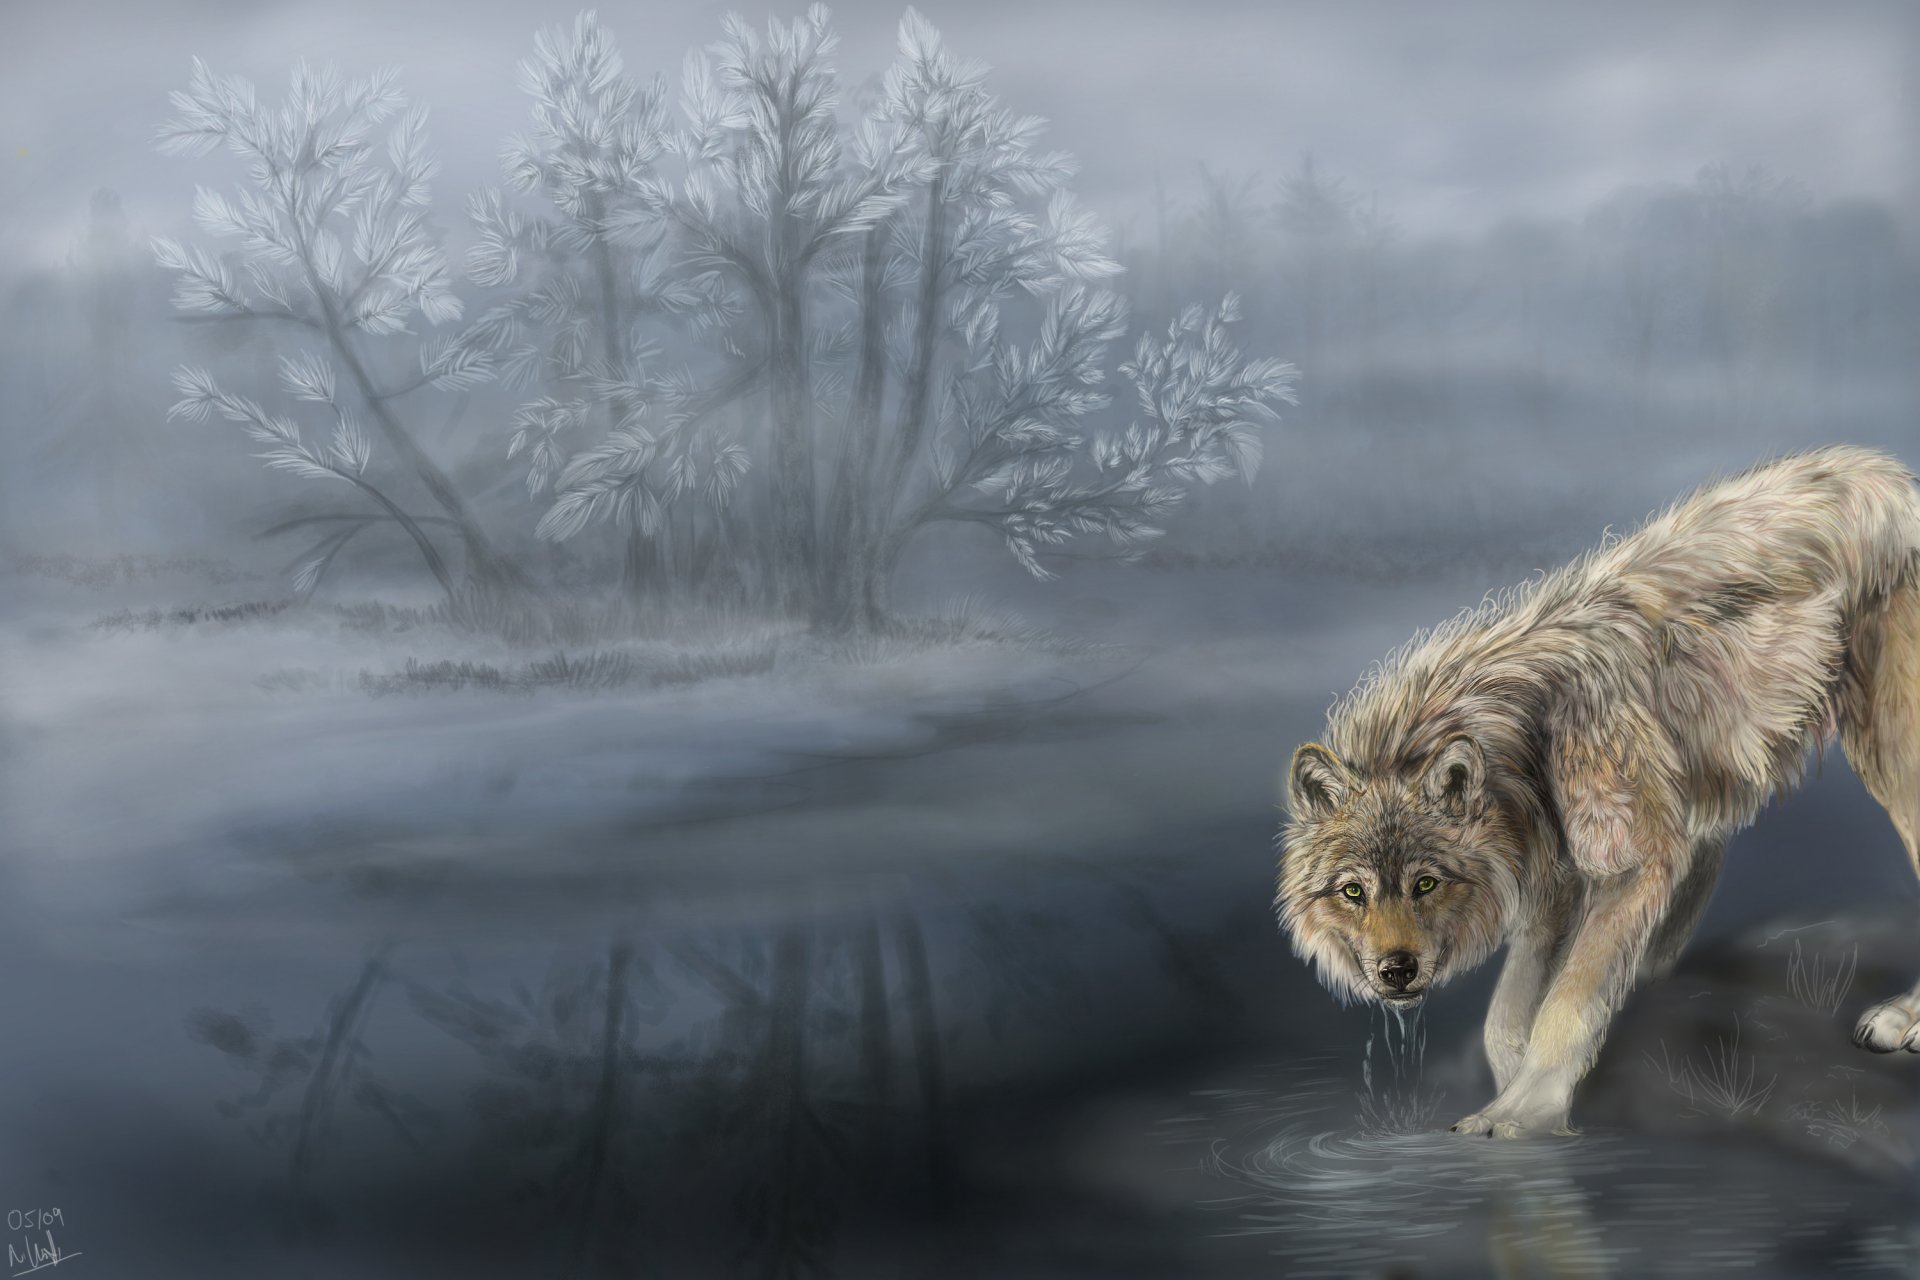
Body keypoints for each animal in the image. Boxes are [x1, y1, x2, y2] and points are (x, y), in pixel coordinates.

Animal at [1275, 445, 1920, 1139]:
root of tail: (1892, 477)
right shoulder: (1553, 875)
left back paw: (1903, 1019)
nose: (1397, 970)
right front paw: (1509, 1084)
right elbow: (1506, 1016)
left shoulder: (1628, 864)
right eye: (1353, 892)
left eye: (1426, 882)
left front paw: (1524, 1113)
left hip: (1894, 765)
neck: (1523, 742)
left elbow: (1568, 1002)